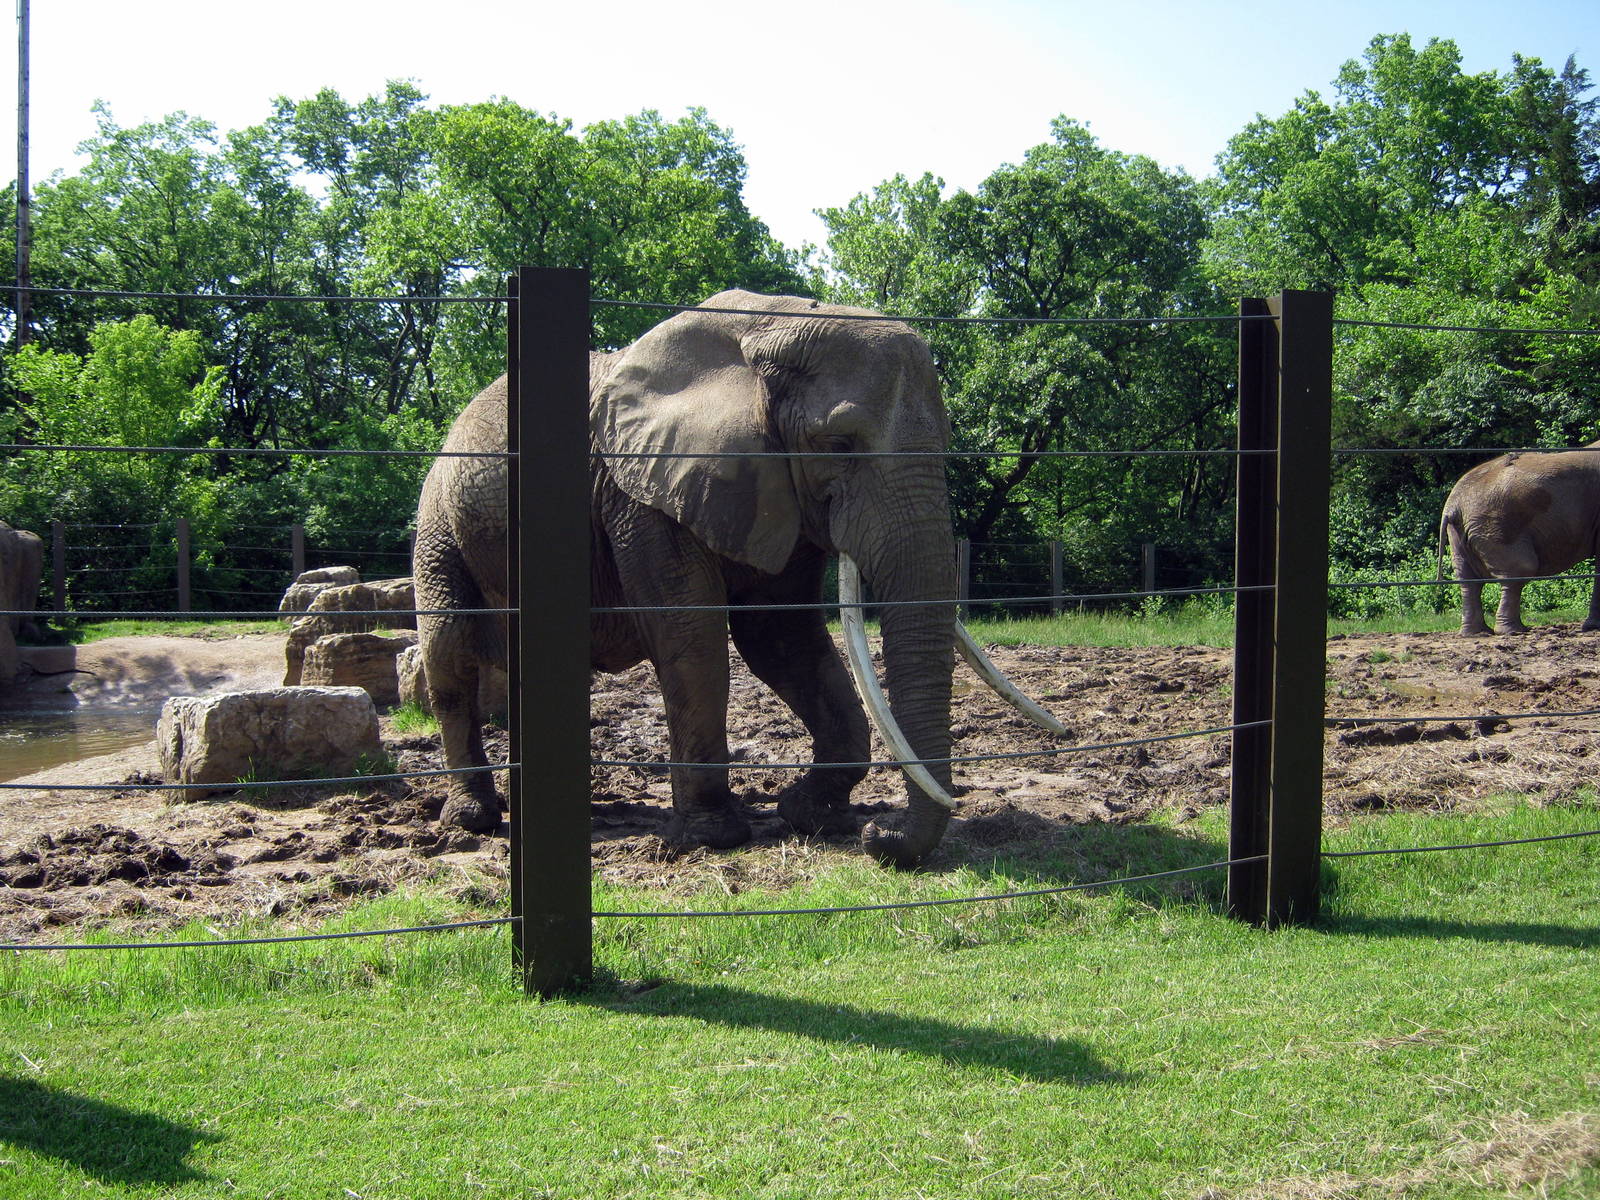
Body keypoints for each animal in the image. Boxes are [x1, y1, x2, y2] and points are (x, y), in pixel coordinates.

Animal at [413, 290, 1059, 867]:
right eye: (838, 443)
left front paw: (809, 815)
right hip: (439, 522)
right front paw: (712, 838)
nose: (880, 836)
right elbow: (693, 638)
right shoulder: (642, 495)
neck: (768, 325)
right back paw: (473, 819)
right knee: (451, 655)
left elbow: (781, 637)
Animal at [1438, 441, 1600, 636]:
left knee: (1469, 580)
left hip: (1460, 533)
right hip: (1497, 526)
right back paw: (1513, 631)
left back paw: (1477, 632)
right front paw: (1592, 627)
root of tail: (1453, 505)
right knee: (1520, 569)